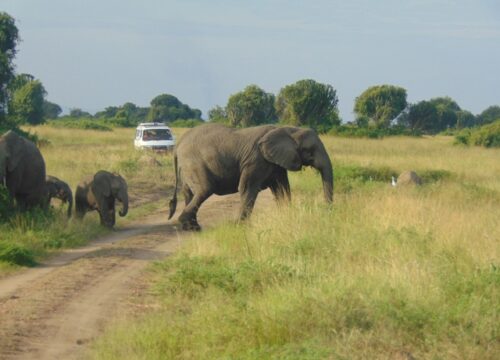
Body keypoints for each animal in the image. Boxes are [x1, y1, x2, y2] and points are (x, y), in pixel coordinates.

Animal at [167, 124, 332, 231]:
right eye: (310, 150)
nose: (327, 210)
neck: (289, 129)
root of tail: (178, 146)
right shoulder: (256, 160)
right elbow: (247, 188)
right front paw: (240, 226)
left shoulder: (275, 162)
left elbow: (281, 188)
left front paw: (286, 215)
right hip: (193, 162)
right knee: (204, 189)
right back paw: (187, 224)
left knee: (190, 193)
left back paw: (191, 227)